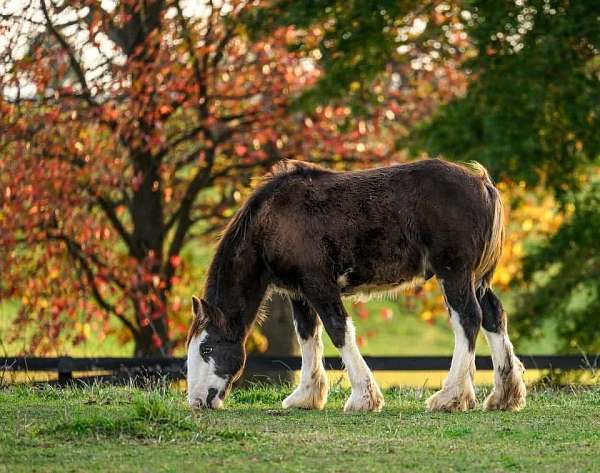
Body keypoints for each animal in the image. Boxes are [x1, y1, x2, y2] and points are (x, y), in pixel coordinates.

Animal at [186, 158, 524, 410]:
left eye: (206, 348)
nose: (196, 402)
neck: (274, 219)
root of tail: (483, 183)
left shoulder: (319, 285)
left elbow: (338, 330)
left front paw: (364, 397)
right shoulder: (300, 293)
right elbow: (308, 337)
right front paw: (306, 396)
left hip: (453, 273)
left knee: (468, 319)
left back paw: (450, 396)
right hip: (474, 279)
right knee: (493, 317)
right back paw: (503, 396)